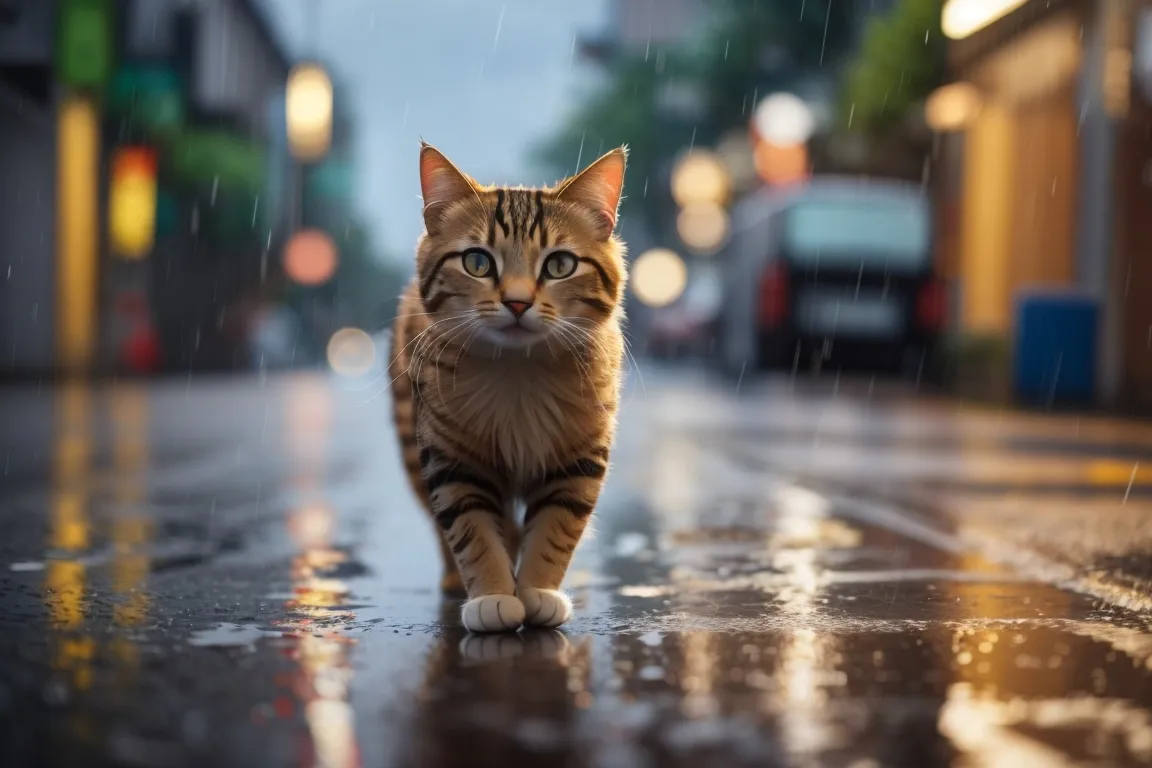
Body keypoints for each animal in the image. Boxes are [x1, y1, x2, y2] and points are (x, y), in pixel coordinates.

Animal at [387, 142, 626, 630]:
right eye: (477, 262)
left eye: (560, 264)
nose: (517, 302)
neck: (519, 372)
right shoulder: (451, 459)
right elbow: (471, 531)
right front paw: (494, 594)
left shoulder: (579, 458)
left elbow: (555, 529)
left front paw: (536, 591)